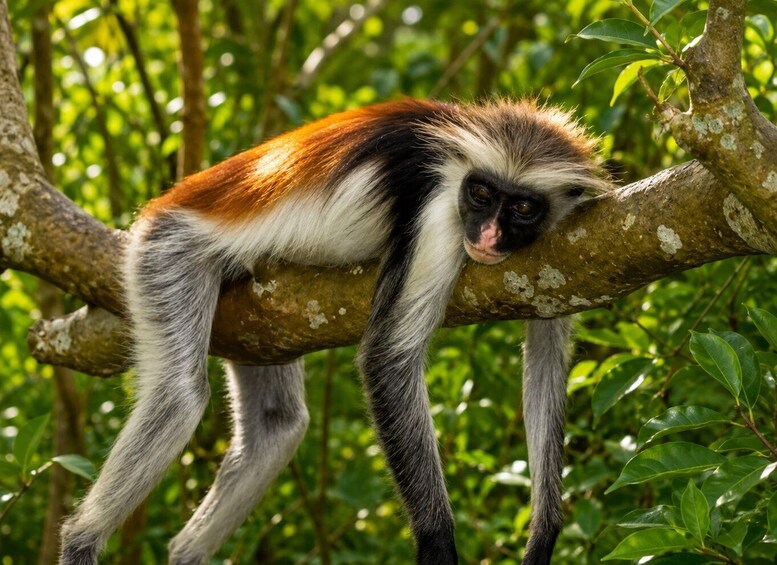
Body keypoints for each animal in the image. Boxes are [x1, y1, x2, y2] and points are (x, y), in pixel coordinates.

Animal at [59, 98, 609, 565]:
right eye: (480, 194)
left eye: (522, 208)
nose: (489, 235)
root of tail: (168, 202)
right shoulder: (438, 209)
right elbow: (387, 359)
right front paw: (437, 544)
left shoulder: (562, 248)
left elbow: (547, 351)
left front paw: (543, 534)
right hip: (167, 251)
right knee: (179, 396)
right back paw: (80, 538)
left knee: (277, 425)